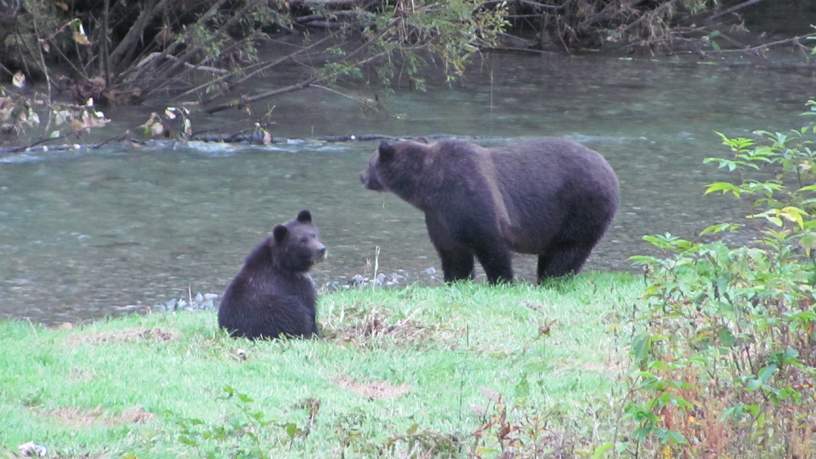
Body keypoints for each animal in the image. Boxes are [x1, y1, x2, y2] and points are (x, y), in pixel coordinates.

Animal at [222, 210, 330, 340]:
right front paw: (316, 332)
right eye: (302, 241)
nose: (322, 249)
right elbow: (309, 305)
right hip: (277, 310)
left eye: (314, 235)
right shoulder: (293, 284)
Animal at [360, 138, 620, 286]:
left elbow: (491, 245)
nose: (361, 176)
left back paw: (551, 279)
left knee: (568, 250)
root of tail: (609, 168)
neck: (429, 185)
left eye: (369, 163)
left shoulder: (472, 195)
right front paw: (456, 280)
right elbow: (452, 252)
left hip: (583, 206)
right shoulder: (441, 216)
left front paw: (502, 280)